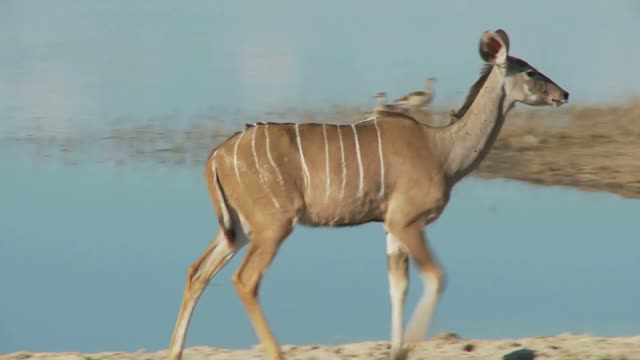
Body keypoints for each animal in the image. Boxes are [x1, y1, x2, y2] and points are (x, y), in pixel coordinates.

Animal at [166, 28, 568, 360]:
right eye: (530, 72)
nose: (563, 93)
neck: (442, 150)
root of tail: (216, 156)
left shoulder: (390, 227)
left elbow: (398, 286)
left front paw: (397, 350)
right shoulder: (407, 221)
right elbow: (436, 276)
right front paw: (408, 348)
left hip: (237, 229)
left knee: (197, 271)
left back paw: (174, 353)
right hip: (272, 226)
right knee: (245, 280)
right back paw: (275, 353)